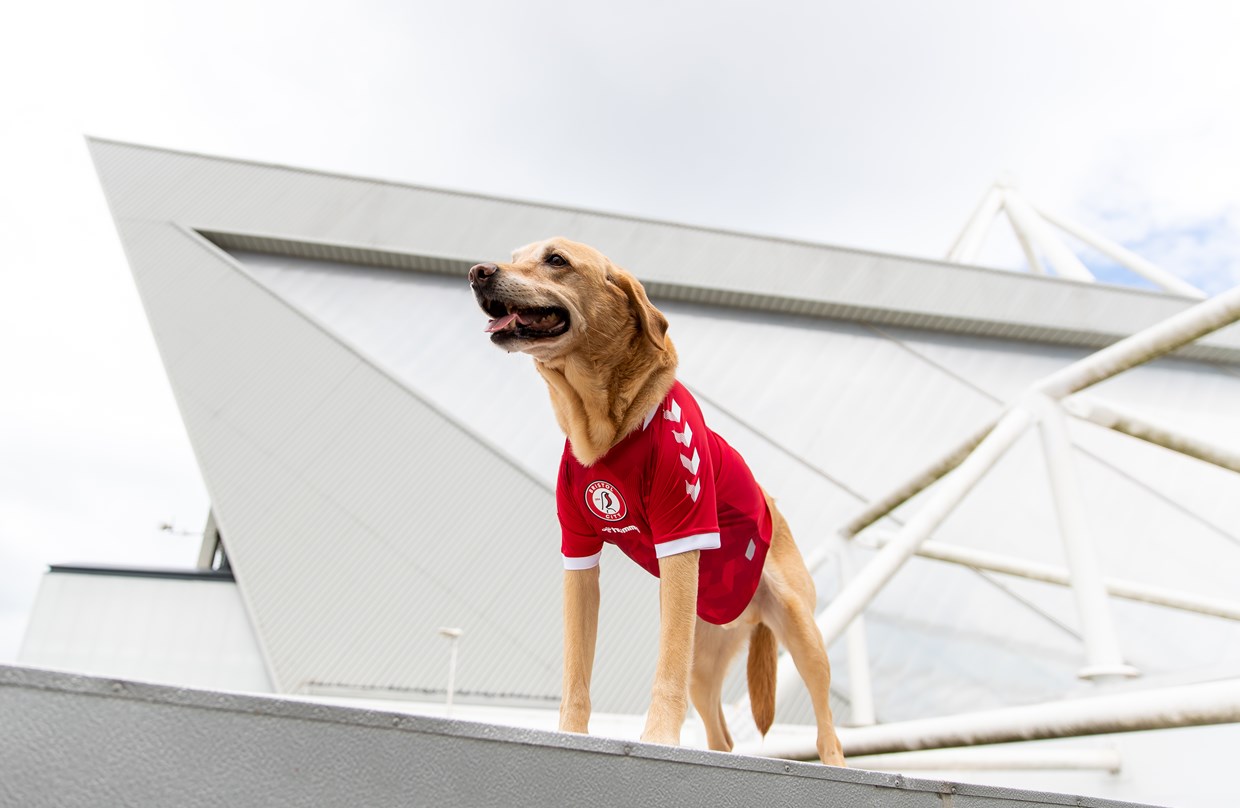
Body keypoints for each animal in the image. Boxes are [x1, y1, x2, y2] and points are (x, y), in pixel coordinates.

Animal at [468, 235, 848, 763]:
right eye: (514, 256)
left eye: (556, 260)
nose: (477, 272)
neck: (605, 427)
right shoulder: (579, 557)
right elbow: (576, 670)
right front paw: (570, 734)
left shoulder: (681, 540)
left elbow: (663, 670)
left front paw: (660, 739)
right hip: (705, 661)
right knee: (722, 737)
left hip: (801, 630)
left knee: (828, 731)